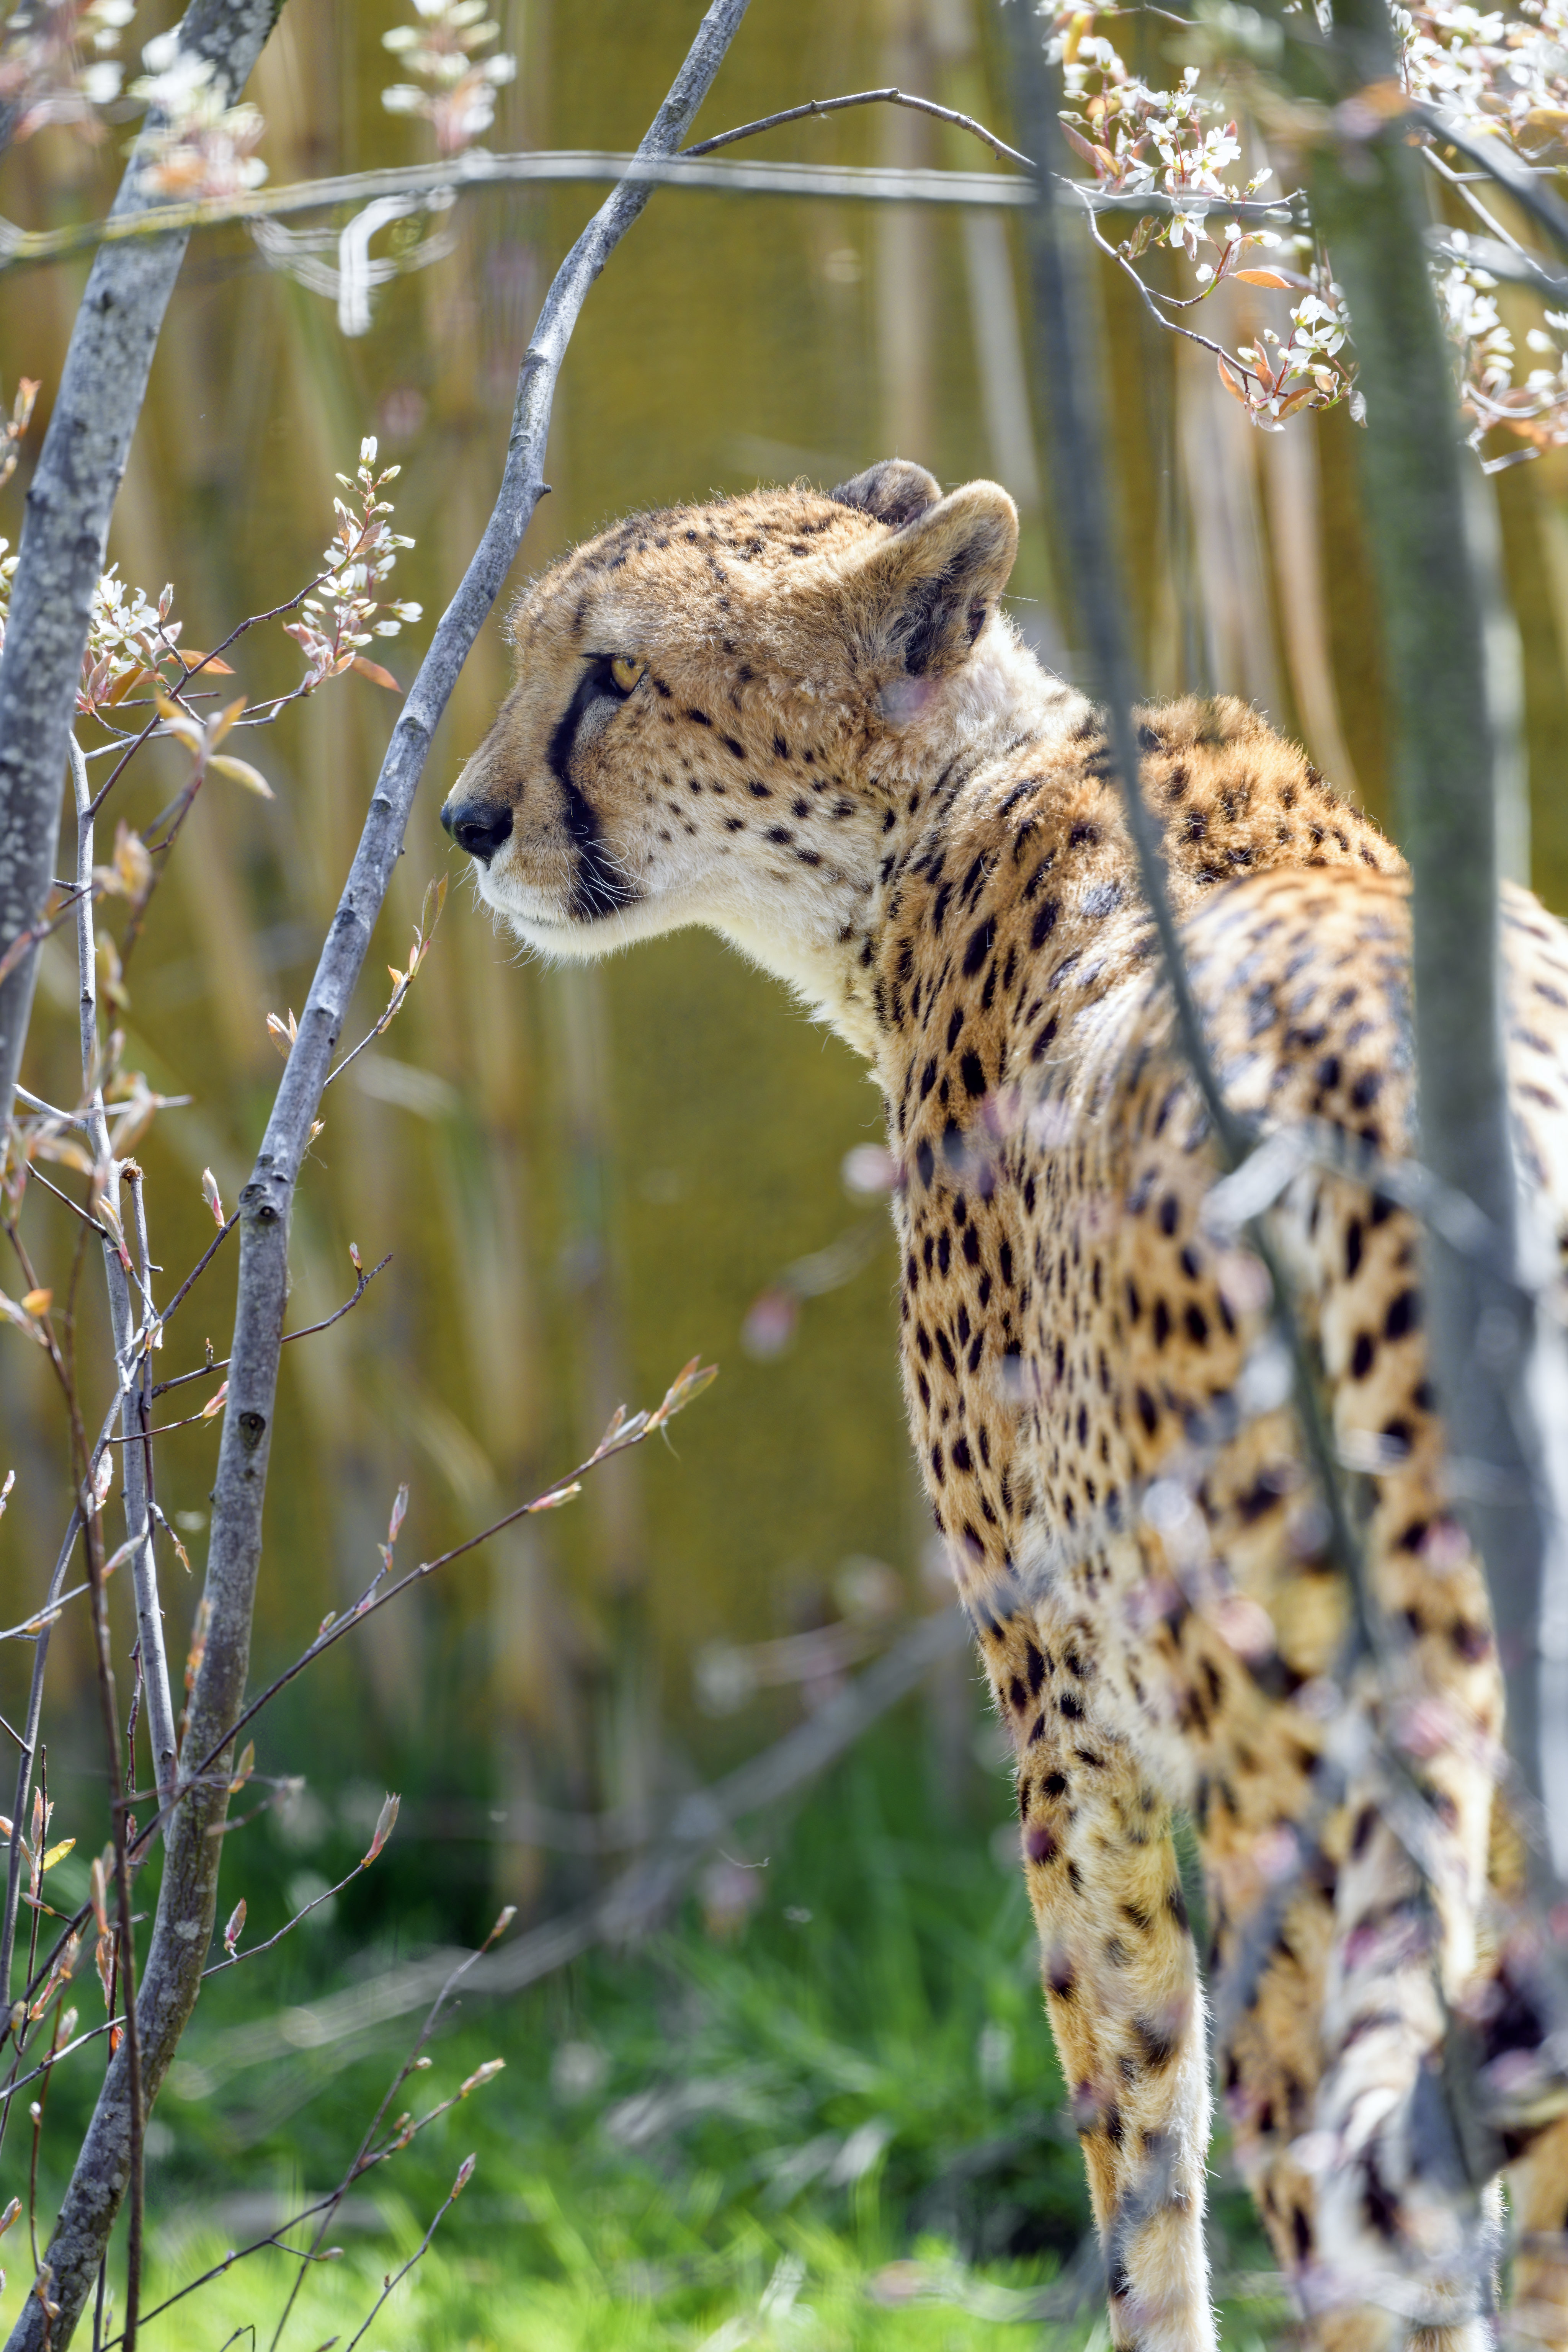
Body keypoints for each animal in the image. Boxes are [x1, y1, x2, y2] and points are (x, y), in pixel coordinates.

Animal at [442, 463, 1568, 2352]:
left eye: (609, 674)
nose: (465, 818)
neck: (947, 818)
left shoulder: (1069, 1708)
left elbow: (1140, 2138)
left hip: (1297, 1777)